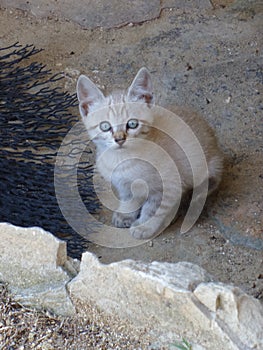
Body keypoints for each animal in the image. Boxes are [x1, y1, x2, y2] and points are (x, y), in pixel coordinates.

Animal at [77, 67, 224, 239]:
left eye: (132, 124)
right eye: (105, 126)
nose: (119, 139)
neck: (123, 160)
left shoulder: (168, 185)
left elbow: (154, 208)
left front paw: (144, 226)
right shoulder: (123, 185)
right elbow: (129, 199)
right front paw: (125, 214)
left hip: (207, 168)